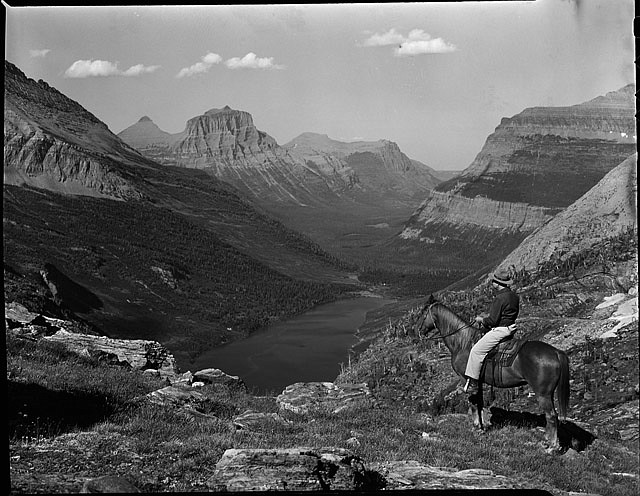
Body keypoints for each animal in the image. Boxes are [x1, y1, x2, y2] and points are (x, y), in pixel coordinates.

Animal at [416, 296, 568, 452]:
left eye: (423, 313)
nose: (418, 330)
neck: (462, 342)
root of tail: (556, 352)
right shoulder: (478, 382)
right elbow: (479, 403)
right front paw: (481, 427)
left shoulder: (466, 379)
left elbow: (472, 402)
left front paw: (476, 427)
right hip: (548, 393)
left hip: (542, 393)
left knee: (551, 416)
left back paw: (552, 447)